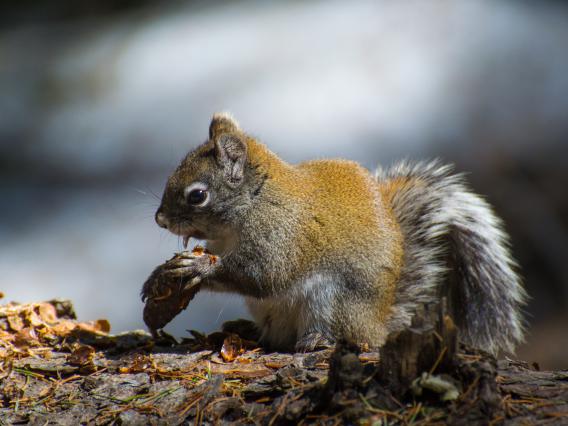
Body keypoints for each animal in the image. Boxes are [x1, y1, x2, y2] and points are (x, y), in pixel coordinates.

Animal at [143, 111, 528, 354]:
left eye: (197, 195)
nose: (160, 219)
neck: (253, 203)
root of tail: (377, 325)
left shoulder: (279, 235)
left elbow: (261, 275)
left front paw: (195, 267)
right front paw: (159, 275)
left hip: (331, 301)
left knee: (338, 334)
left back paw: (318, 341)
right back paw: (244, 329)